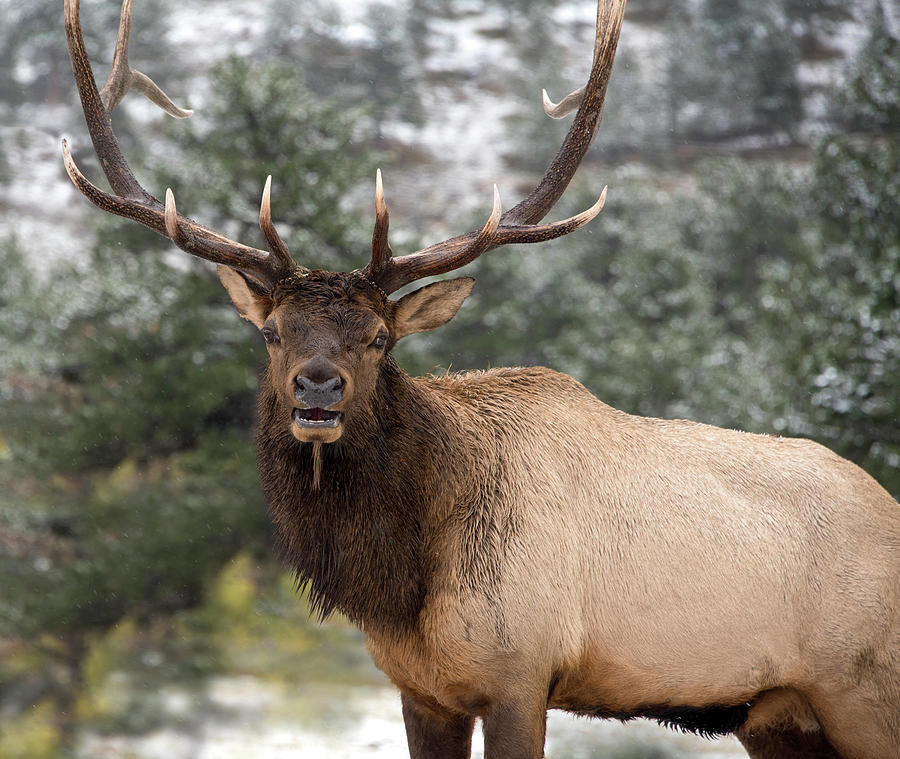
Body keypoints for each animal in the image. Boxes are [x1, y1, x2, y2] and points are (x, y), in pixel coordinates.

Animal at [61, 1, 900, 759]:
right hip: (778, 714)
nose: (318, 389)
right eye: (272, 332)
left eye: (380, 338)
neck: (401, 584)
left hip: (863, 688)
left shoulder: (519, 672)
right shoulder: (421, 688)